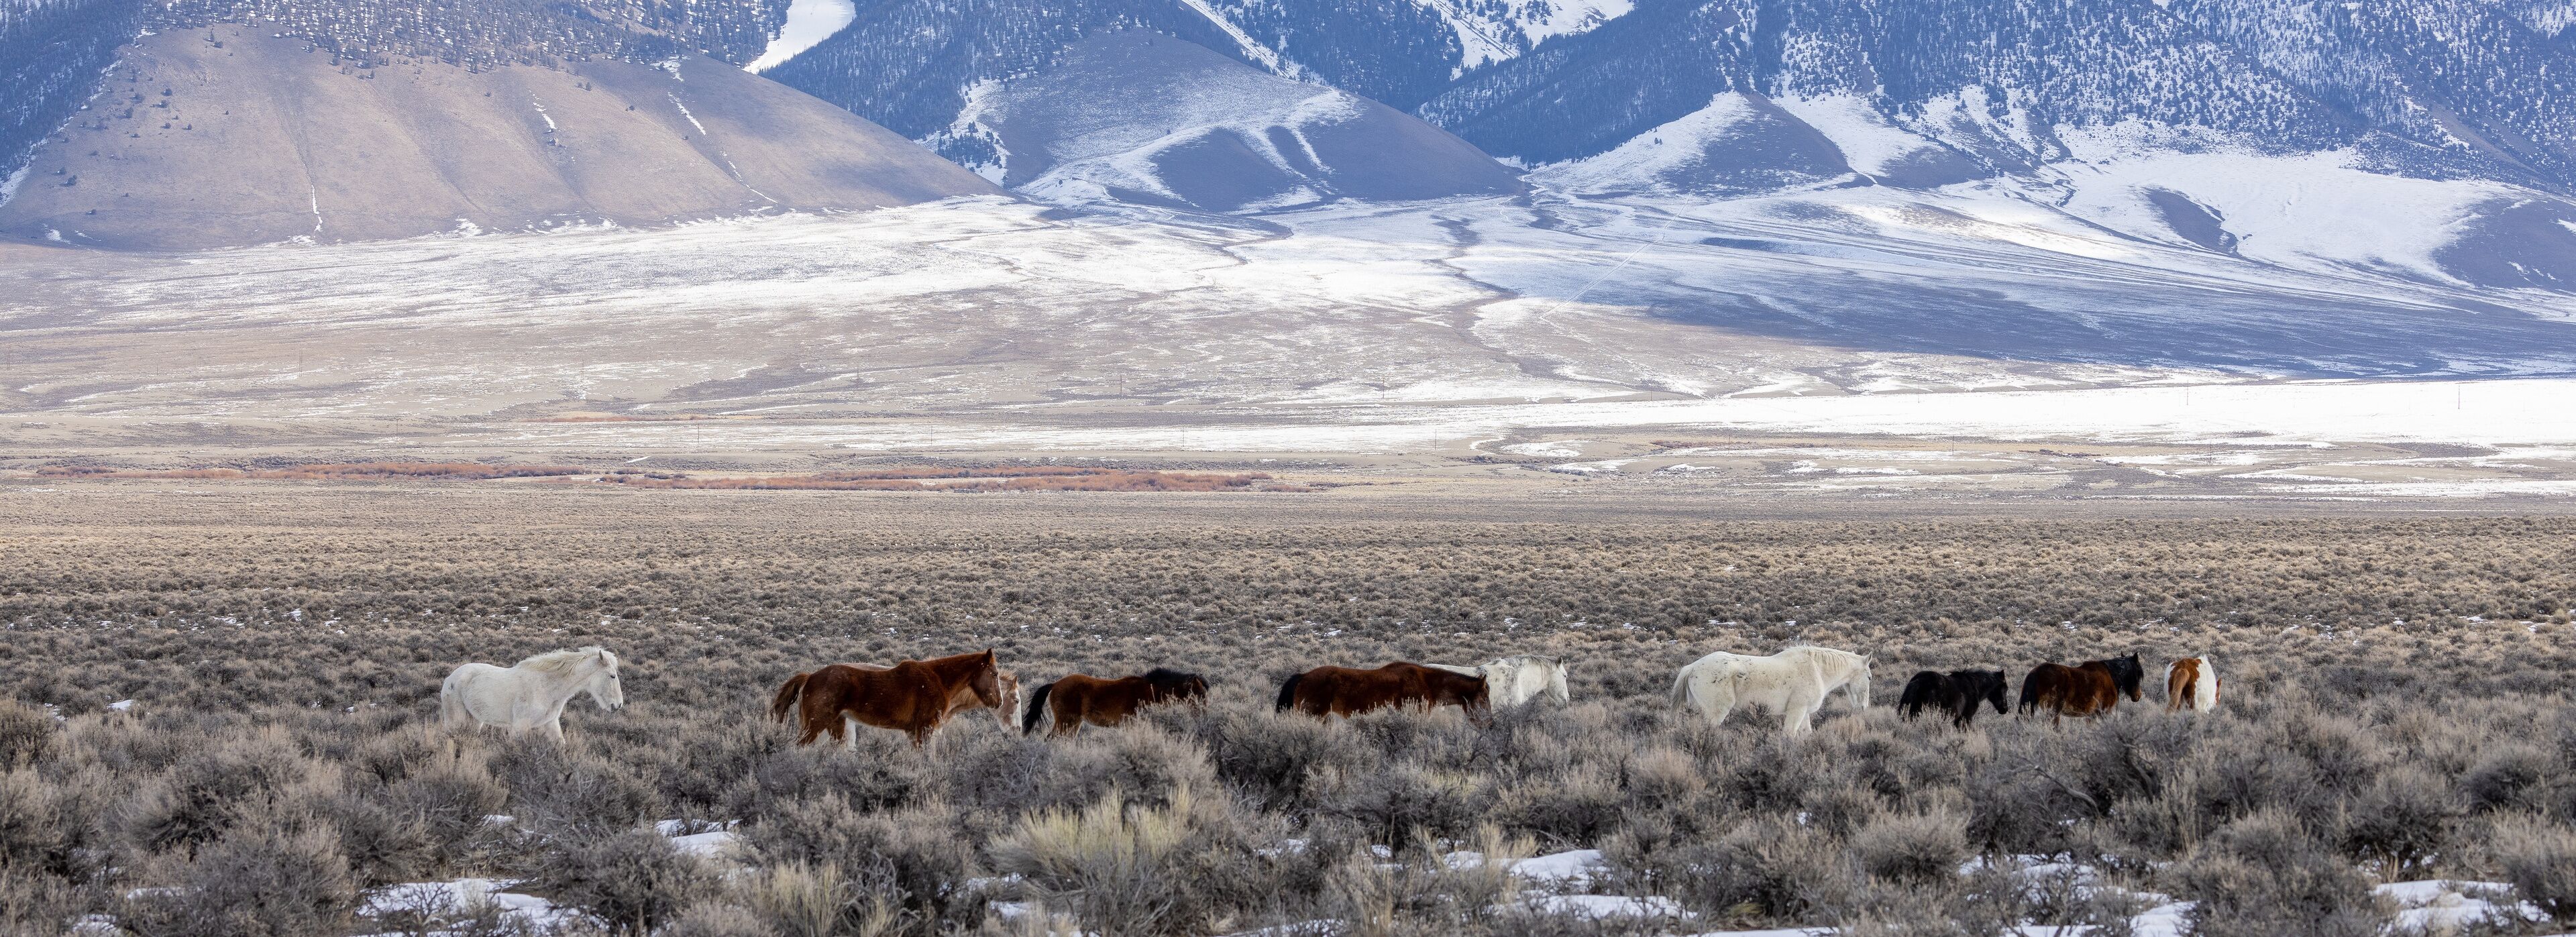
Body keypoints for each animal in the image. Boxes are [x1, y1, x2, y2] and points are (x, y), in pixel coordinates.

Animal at [439, 646, 624, 741]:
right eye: (612, 676)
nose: (618, 705)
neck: (546, 687)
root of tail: (449, 678)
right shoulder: (520, 726)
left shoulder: (550, 723)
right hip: (455, 718)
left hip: (475, 720)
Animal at [768, 649, 1011, 748]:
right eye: (995, 674)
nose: (998, 702)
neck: (938, 679)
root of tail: (810, 677)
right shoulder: (925, 728)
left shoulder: (914, 732)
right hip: (814, 725)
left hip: (837, 725)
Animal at [1020, 668, 1209, 736]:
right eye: (1198, 694)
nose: (1204, 715)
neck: (1150, 691)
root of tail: (1055, 684)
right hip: (1065, 721)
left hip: (1074, 723)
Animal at [1669, 646, 1871, 738]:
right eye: (1869, 677)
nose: (1863, 707)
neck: (1816, 670)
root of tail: (1691, 668)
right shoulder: (1796, 711)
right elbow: (1789, 733)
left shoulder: (1804, 712)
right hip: (1717, 712)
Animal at [2017, 653, 2145, 723]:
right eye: (2138, 674)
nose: (2138, 695)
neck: (2111, 675)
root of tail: (2036, 672)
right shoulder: (2102, 713)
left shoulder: (2092, 715)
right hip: (2053, 712)